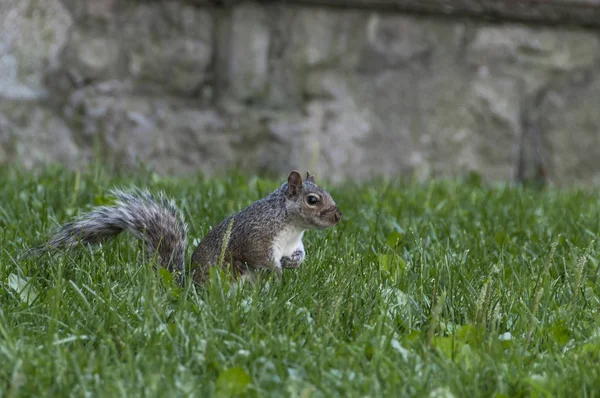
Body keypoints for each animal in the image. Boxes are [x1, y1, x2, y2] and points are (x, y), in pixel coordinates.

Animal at [36, 169, 342, 284]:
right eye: (312, 200)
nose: (338, 216)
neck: (291, 226)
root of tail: (188, 288)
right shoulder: (257, 236)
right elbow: (258, 256)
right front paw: (277, 271)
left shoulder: (293, 243)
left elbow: (299, 254)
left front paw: (294, 263)